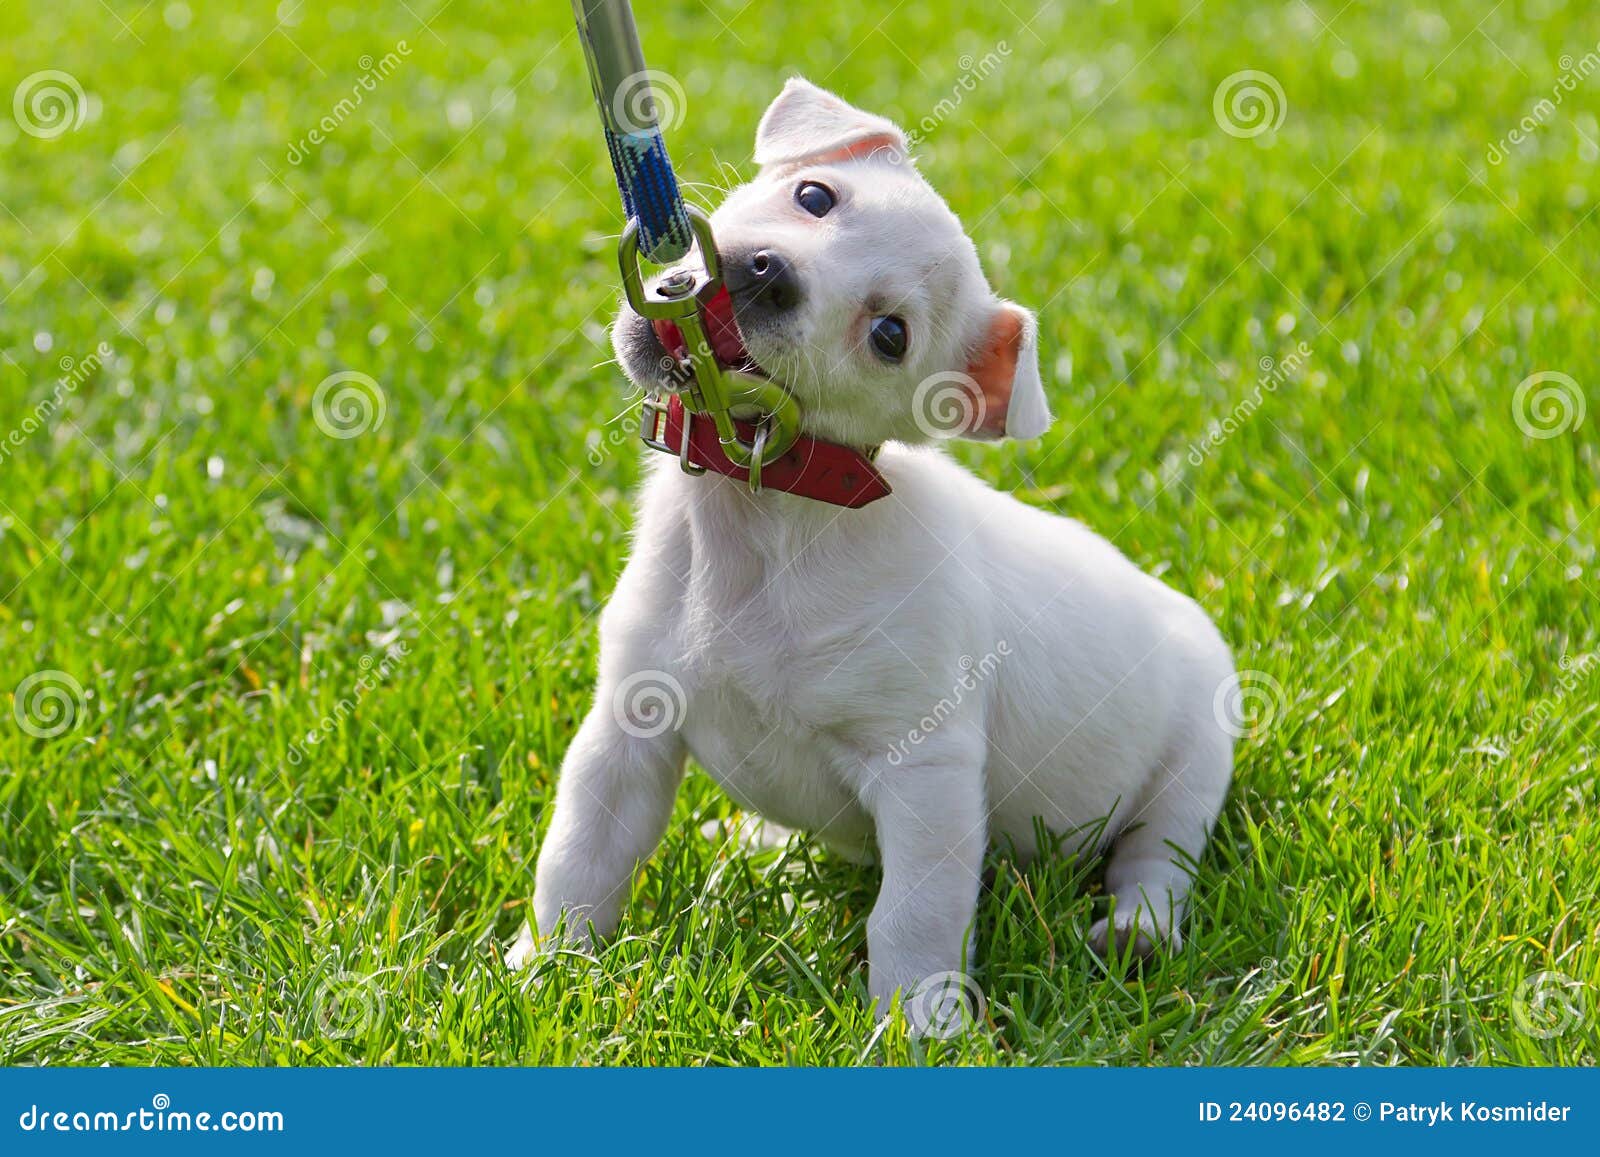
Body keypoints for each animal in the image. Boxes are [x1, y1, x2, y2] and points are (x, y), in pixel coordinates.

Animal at [512, 76, 1235, 1024]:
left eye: (889, 336)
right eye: (816, 196)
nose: (766, 273)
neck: (764, 523)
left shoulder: (925, 769)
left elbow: (913, 912)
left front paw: (918, 1022)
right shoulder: (626, 730)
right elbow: (580, 856)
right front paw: (542, 970)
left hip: (1193, 763)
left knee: (1157, 857)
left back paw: (1136, 931)